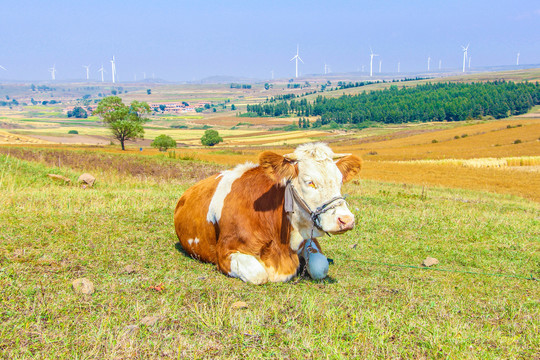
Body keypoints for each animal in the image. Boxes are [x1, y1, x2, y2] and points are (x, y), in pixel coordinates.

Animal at [174, 143, 362, 284]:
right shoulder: (225, 252)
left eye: (340, 181)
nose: (346, 220)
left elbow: (320, 267)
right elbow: (258, 274)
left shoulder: (308, 239)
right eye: (310, 182)